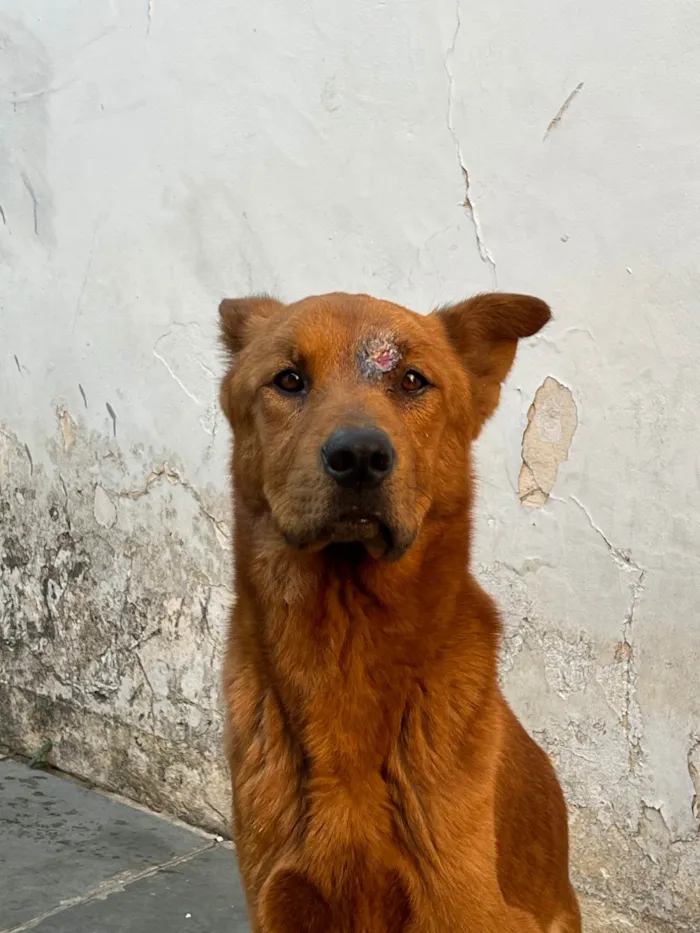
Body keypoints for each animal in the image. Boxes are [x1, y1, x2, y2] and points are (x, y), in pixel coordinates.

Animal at [219, 294, 580, 932]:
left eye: (412, 380)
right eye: (288, 380)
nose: (359, 456)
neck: (347, 643)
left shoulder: (461, 908)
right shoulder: (279, 902)